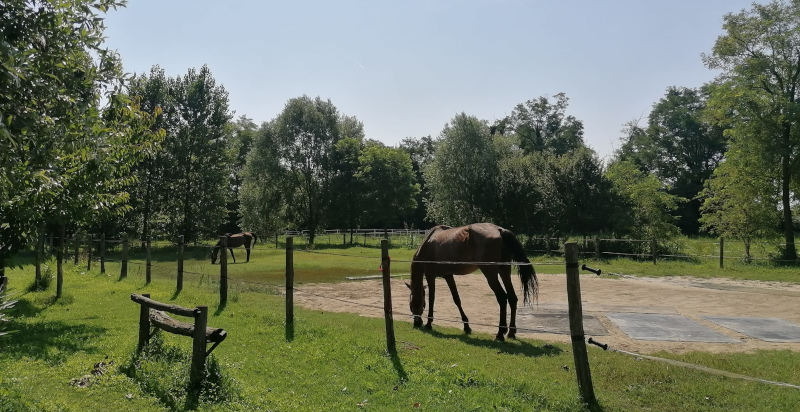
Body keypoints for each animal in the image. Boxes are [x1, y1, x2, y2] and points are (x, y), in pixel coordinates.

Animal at [406, 223, 537, 341]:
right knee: (512, 298)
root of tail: (499, 230)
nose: (417, 323)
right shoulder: (448, 276)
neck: (428, 244)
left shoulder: (430, 276)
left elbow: (432, 299)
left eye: (412, 305)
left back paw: (500, 333)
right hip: (504, 271)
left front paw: (429, 324)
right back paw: (511, 332)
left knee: (502, 298)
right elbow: (457, 299)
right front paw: (466, 327)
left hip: (490, 274)